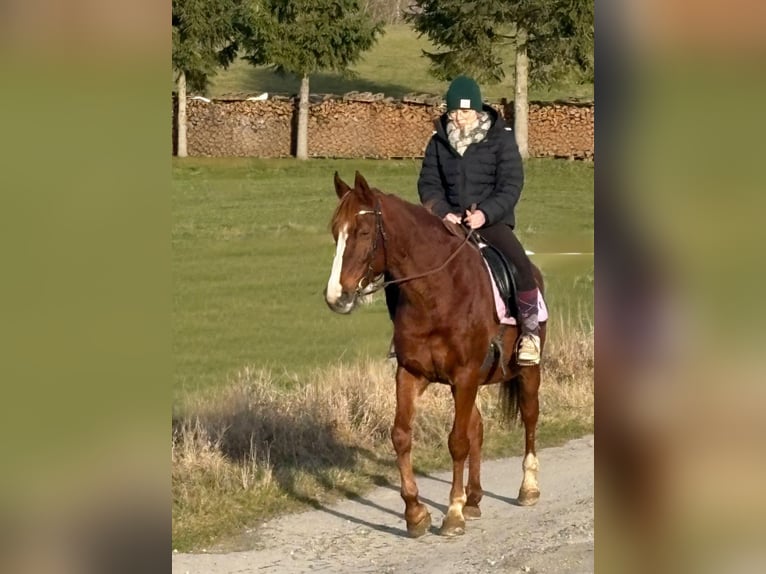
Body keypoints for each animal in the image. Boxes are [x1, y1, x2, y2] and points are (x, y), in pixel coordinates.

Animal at [324, 171, 546, 538]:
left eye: (363, 232)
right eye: (334, 232)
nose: (336, 296)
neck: (435, 294)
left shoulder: (464, 375)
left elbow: (456, 441)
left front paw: (452, 514)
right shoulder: (412, 373)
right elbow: (401, 435)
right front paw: (416, 513)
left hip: (525, 373)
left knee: (529, 417)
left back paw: (527, 488)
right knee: (477, 428)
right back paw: (474, 499)